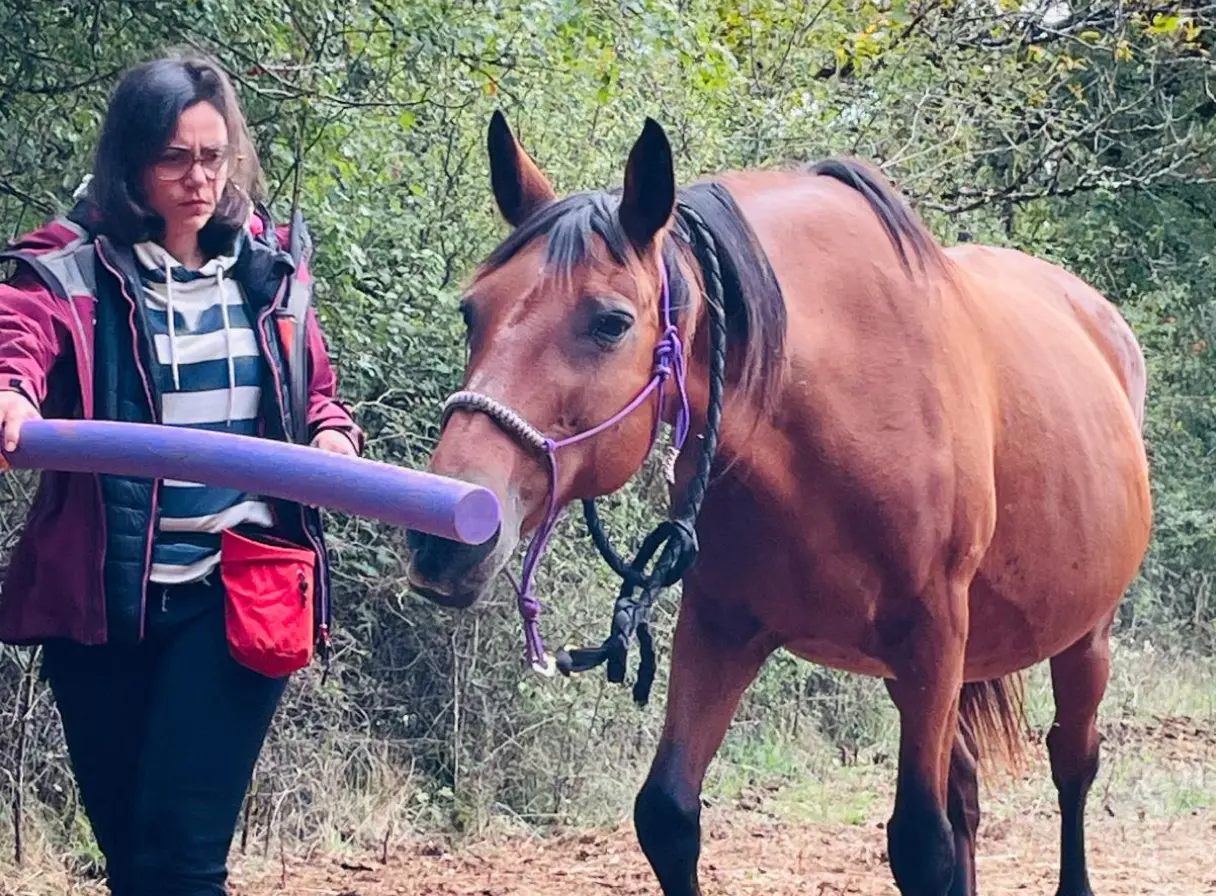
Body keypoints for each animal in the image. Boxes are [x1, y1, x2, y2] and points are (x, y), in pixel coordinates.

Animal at [404, 110, 1153, 896]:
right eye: (472, 311)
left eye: (610, 322)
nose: (442, 534)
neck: (832, 410)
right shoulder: (722, 625)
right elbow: (666, 815)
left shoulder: (934, 637)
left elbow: (921, 844)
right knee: (968, 793)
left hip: (1081, 636)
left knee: (1071, 763)